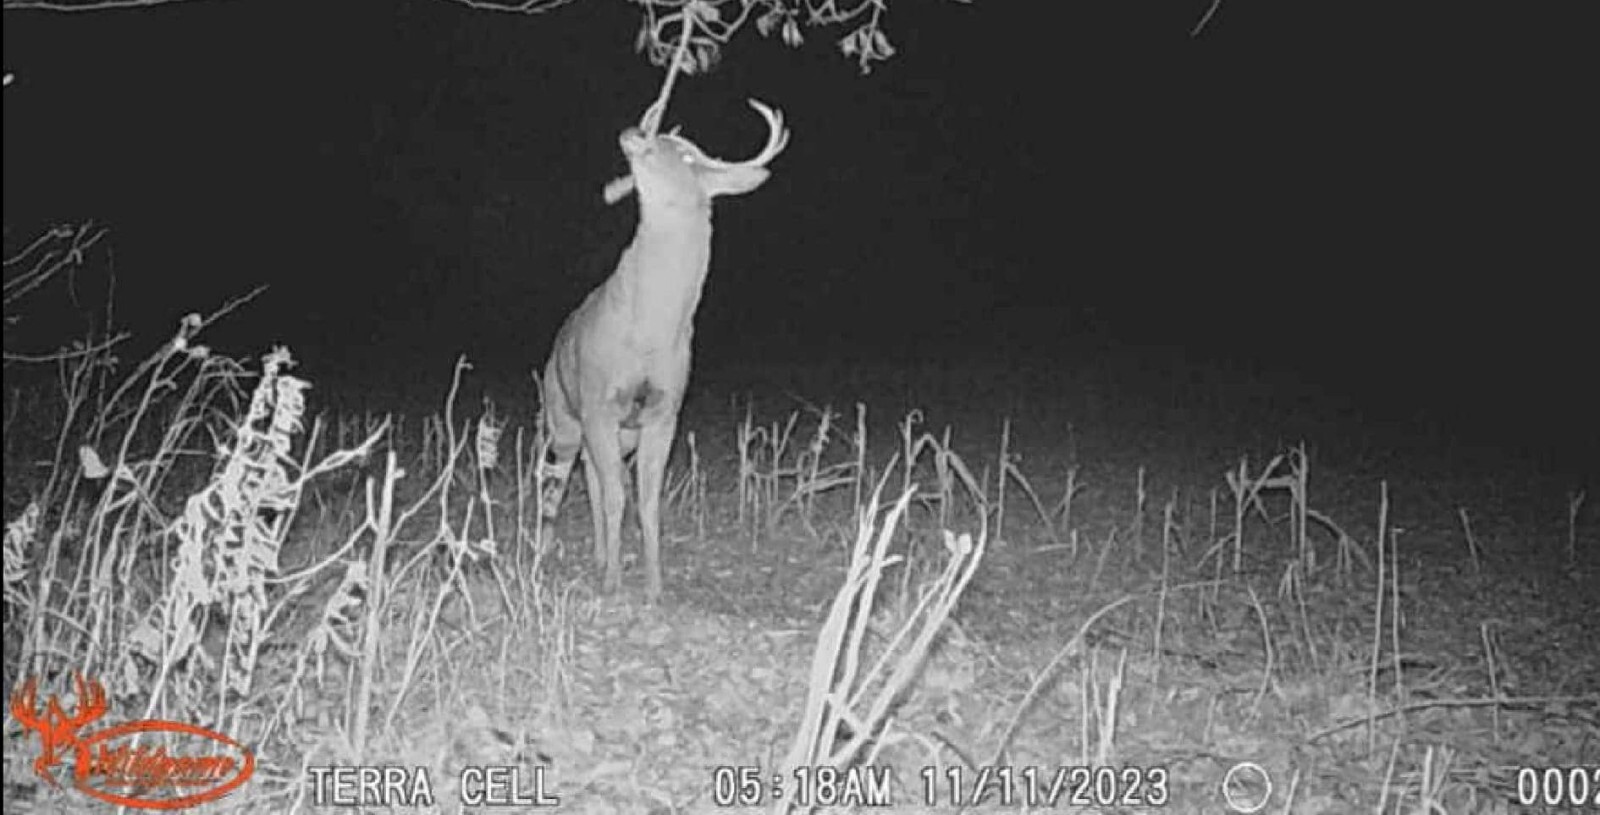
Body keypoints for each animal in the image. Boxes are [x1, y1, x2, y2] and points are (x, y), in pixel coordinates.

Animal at [538, 99, 789, 601]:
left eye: (688, 154)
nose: (635, 132)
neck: (649, 331)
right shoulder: (599, 400)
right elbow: (618, 495)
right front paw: (614, 583)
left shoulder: (663, 410)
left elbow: (646, 500)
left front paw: (653, 586)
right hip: (563, 415)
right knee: (563, 478)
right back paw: (543, 553)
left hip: (616, 432)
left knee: (591, 477)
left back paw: (597, 556)